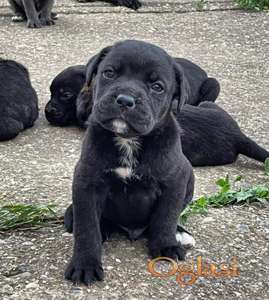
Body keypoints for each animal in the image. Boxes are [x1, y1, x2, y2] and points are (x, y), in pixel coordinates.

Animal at [64, 39, 195, 284]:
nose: (125, 99)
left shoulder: (174, 181)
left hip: (190, 174)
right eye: (109, 73)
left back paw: (179, 233)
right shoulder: (87, 182)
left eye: (157, 87)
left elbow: (166, 216)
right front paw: (85, 264)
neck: (128, 140)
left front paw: (166, 245)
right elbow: (87, 228)